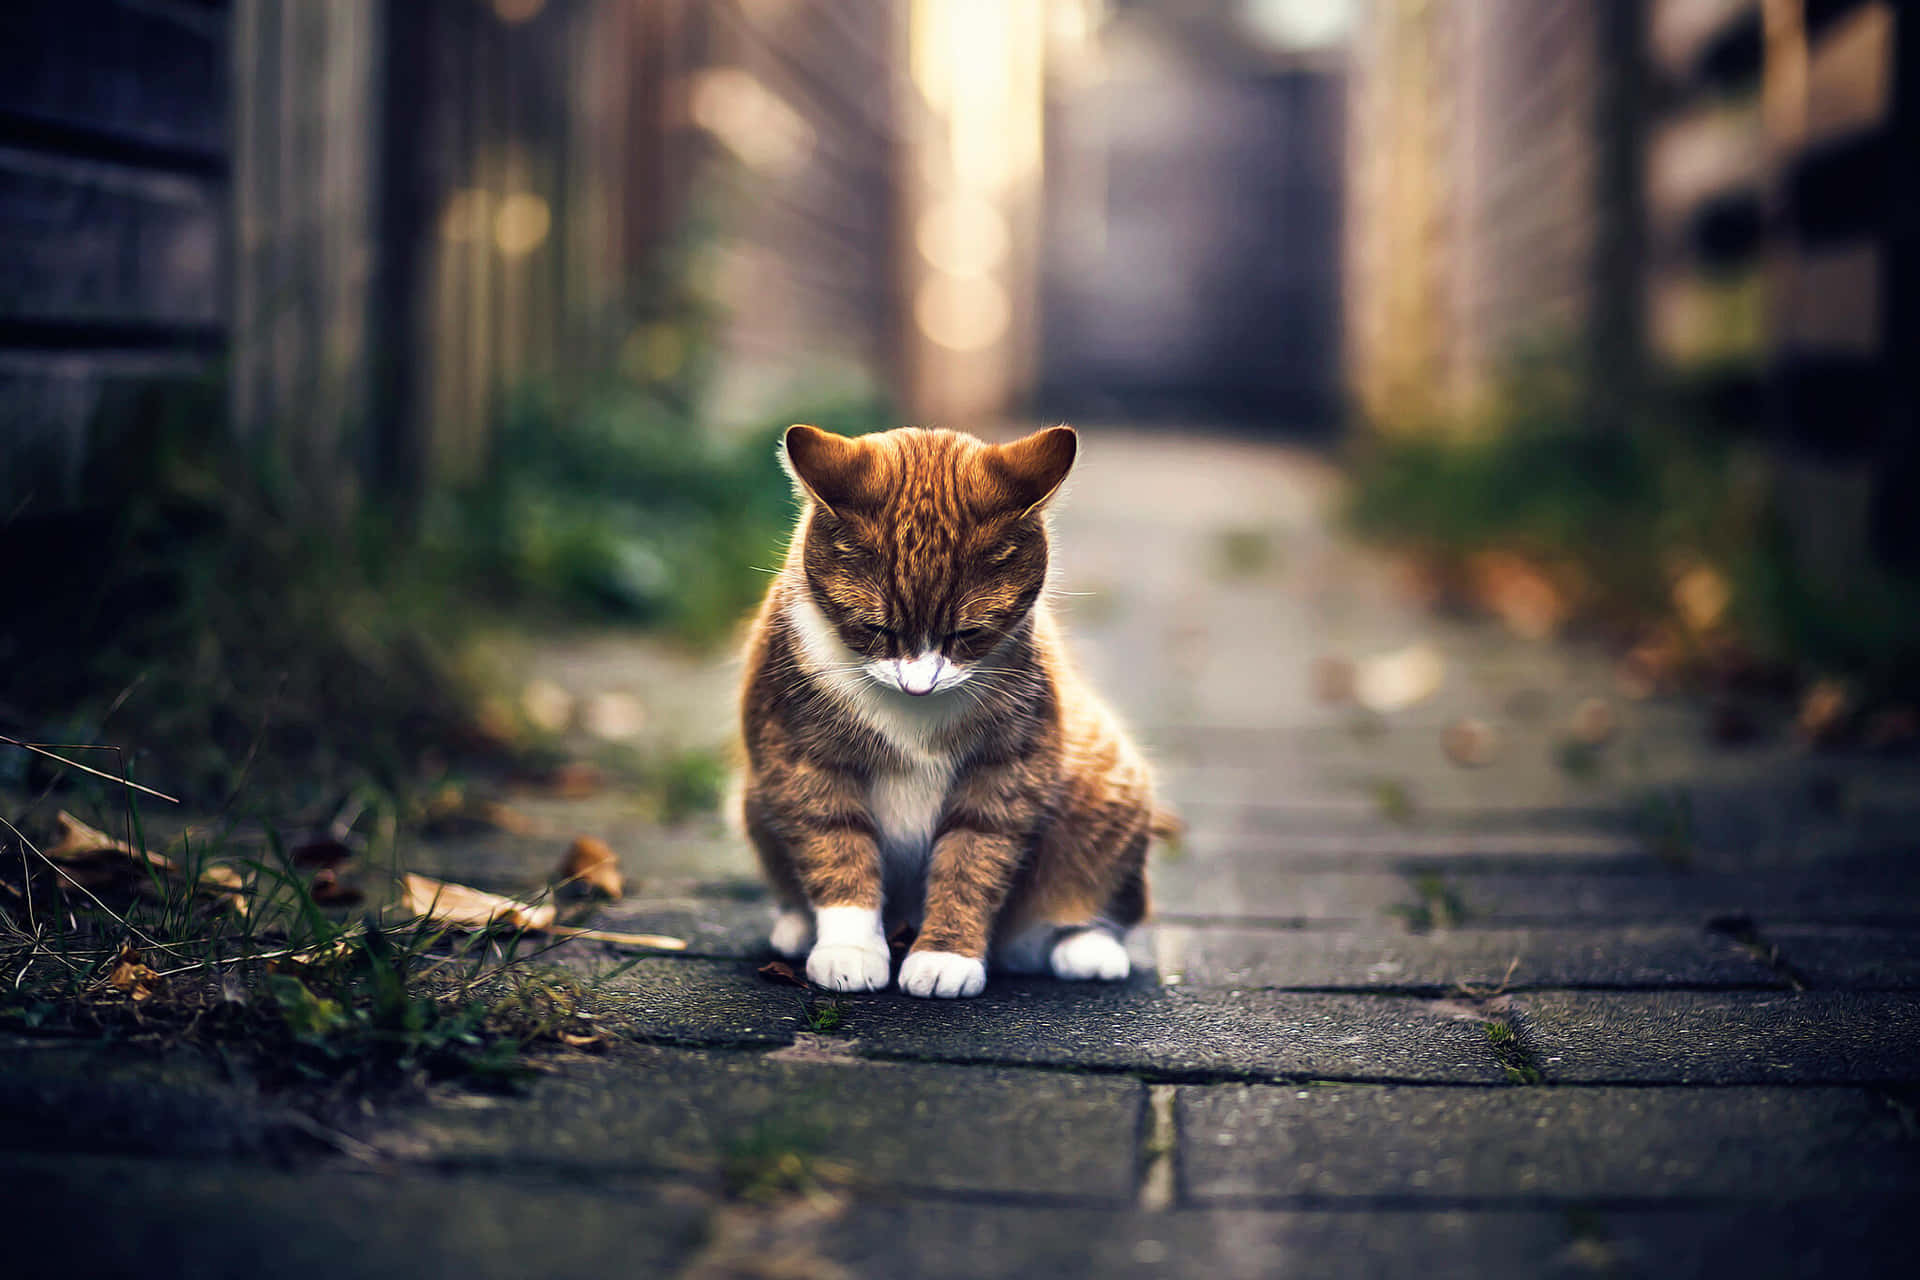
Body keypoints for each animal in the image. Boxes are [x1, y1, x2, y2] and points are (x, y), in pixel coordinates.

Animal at [733, 426, 1159, 997]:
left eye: (969, 633)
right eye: (874, 629)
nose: (918, 686)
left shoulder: (1008, 770)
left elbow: (971, 860)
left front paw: (945, 957)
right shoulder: (799, 758)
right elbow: (836, 849)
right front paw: (849, 949)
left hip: (1109, 789)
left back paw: (1086, 949)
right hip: (754, 798)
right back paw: (799, 927)